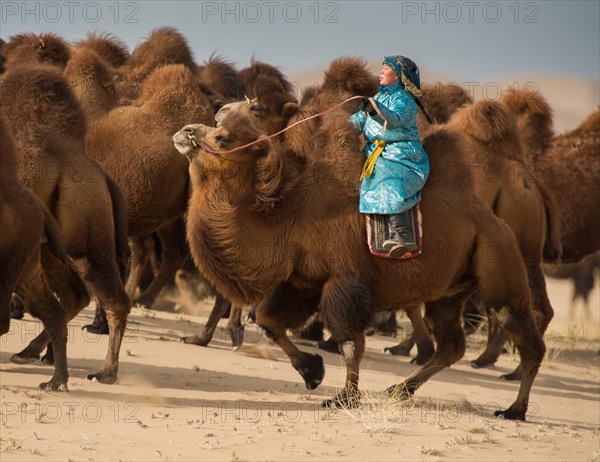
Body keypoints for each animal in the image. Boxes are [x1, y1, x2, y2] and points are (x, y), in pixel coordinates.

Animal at [172, 107, 544, 418]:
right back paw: (400, 389)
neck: (291, 220)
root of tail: (494, 222)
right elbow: (267, 321)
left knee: (524, 336)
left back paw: (514, 409)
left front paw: (344, 398)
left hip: (499, 264)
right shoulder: (303, 284)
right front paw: (312, 372)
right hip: (450, 291)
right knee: (452, 345)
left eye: (222, 137)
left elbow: (350, 343)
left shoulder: (345, 282)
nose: (184, 131)